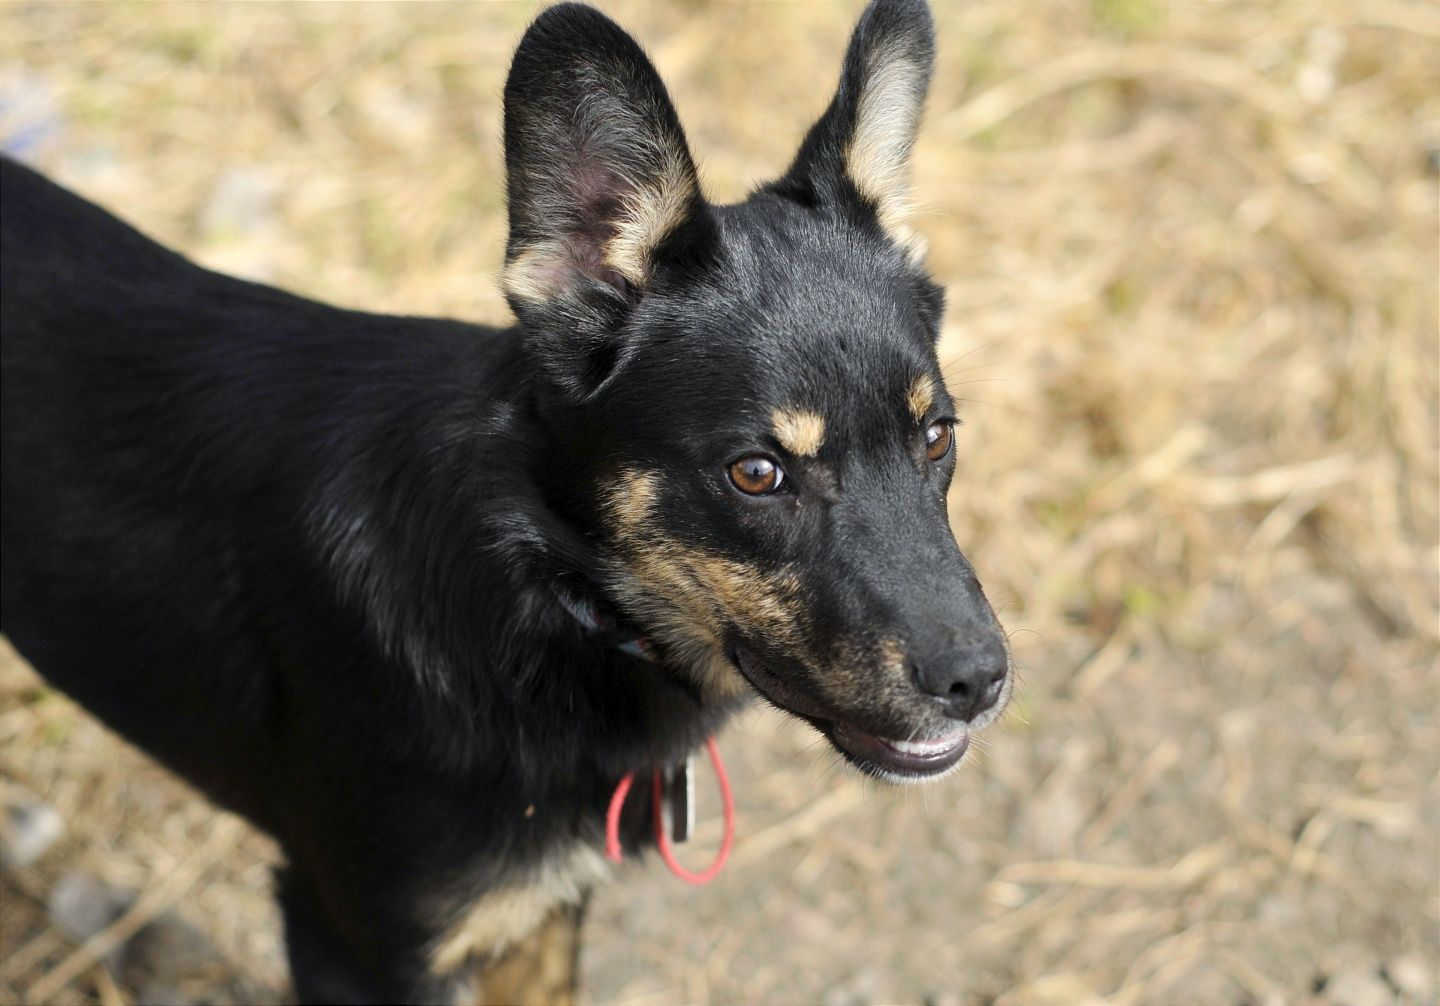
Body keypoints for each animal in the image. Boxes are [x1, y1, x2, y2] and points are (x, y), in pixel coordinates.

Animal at [0, 1, 1013, 1001]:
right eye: (757, 474)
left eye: (937, 436)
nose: (980, 682)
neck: (534, 585)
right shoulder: (358, 942)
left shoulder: (541, 913)